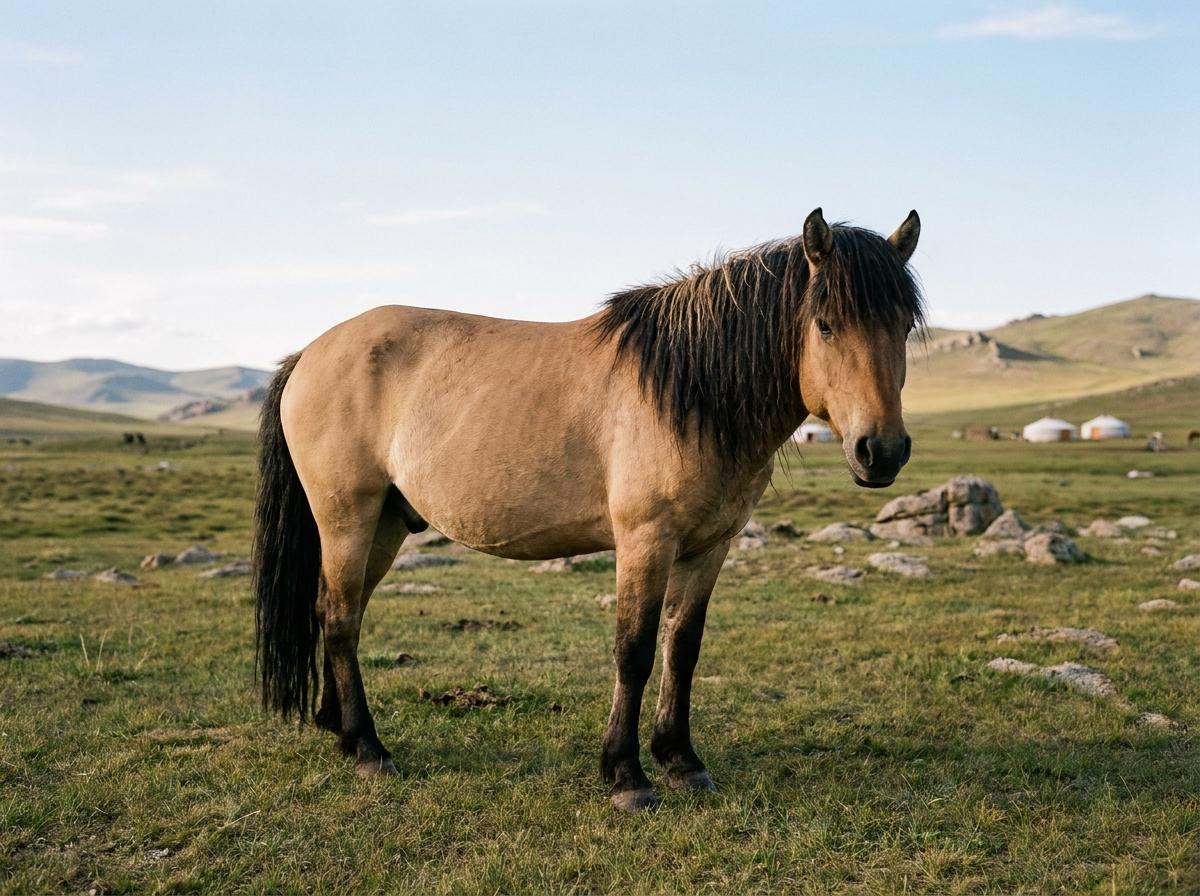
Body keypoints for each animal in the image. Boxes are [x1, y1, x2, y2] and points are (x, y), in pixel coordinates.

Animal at [252, 207, 924, 811]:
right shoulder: (646, 541)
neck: (688, 391)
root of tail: (309, 354)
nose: (881, 451)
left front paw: (682, 760)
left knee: (338, 614)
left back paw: (341, 731)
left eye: (904, 327)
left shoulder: (710, 546)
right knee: (340, 618)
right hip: (347, 518)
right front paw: (626, 775)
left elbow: (683, 648)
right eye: (826, 325)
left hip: (386, 525)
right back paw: (370, 751)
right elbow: (635, 649)